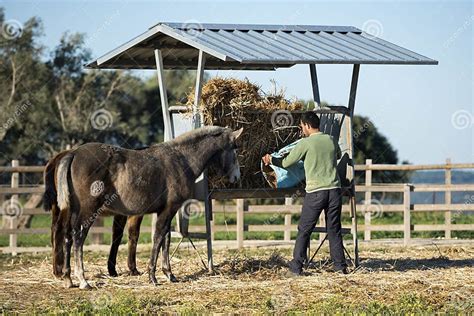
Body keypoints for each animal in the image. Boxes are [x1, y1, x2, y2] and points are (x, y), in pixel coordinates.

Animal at [44, 126, 243, 288]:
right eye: (234, 148)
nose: (237, 177)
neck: (181, 159)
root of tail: (73, 153)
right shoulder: (169, 209)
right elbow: (158, 238)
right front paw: (152, 276)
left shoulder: (166, 211)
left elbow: (166, 240)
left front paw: (169, 274)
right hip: (88, 210)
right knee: (78, 238)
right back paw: (83, 280)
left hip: (73, 210)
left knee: (67, 237)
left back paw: (68, 278)